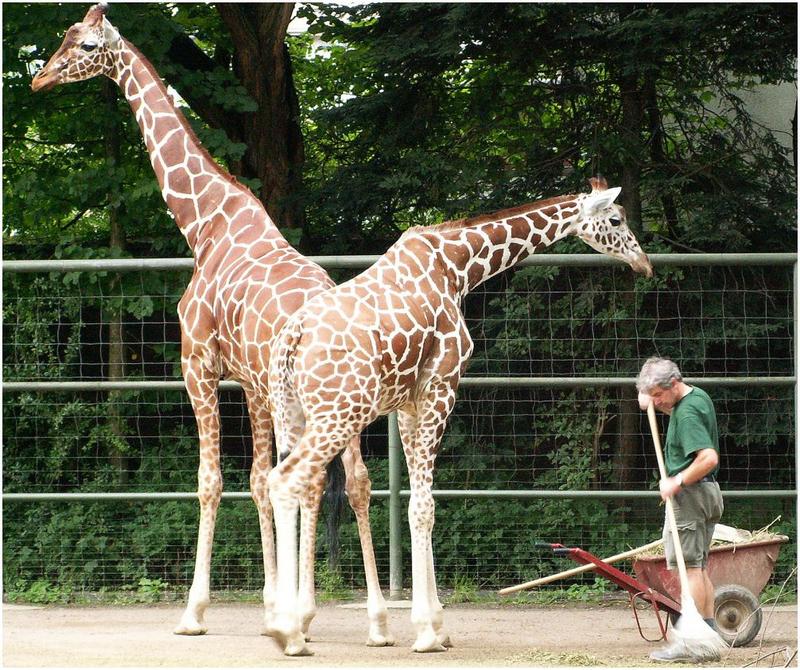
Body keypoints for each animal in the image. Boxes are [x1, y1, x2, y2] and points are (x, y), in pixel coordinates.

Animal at [32, 2, 396, 648]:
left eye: (84, 44)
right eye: (65, 37)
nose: (38, 79)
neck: (202, 224)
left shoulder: (196, 364)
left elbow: (213, 480)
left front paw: (196, 611)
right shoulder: (249, 383)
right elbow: (256, 480)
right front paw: (272, 604)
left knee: (312, 479)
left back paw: (309, 618)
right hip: (338, 401)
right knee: (352, 479)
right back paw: (373, 622)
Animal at [266, 177, 652, 656]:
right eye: (615, 219)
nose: (644, 263)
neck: (457, 267)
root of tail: (293, 338)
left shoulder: (408, 404)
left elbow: (416, 500)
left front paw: (436, 626)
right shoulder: (442, 388)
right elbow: (424, 506)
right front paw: (428, 630)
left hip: (292, 415)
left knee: (293, 484)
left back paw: (290, 624)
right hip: (339, 412)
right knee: (285, 481)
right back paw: (289, 633)